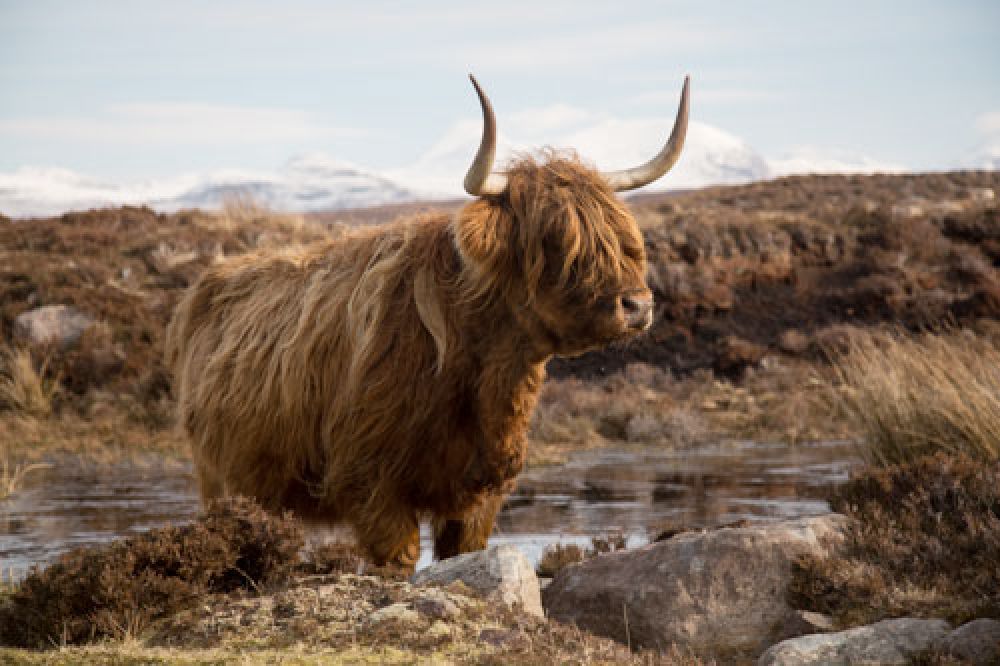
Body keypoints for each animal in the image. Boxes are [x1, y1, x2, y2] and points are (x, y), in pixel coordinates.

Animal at [168, 76, 692, 564]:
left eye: (624, 238)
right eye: (556, 239)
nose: (638, 305)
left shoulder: (479, 495)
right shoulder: (370, 483)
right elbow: (398, 560)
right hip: (218, 480)